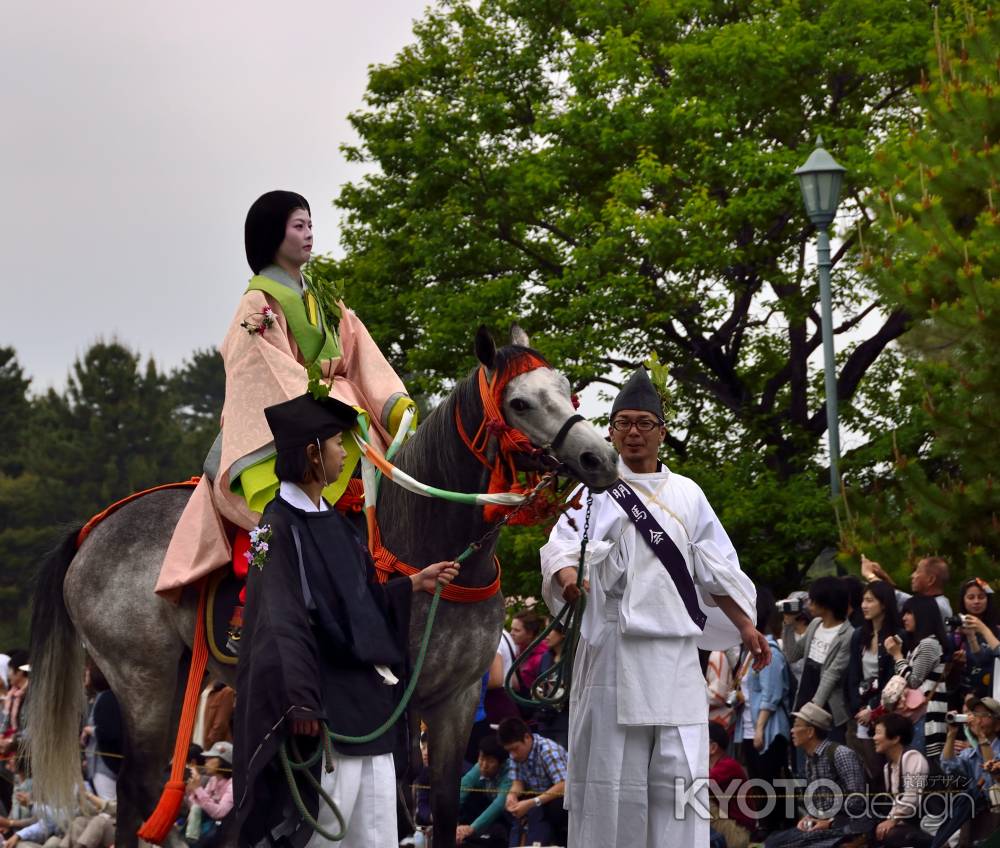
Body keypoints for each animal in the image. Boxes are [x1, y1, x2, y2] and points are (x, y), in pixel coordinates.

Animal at [29, 326, 616, 848]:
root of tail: (94, 528)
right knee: (139, 789)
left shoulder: (457, 698)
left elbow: (445, 812)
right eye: (520, 402)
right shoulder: (394, 699)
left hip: (175, 679)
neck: (429, 544)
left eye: (566, 387)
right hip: (140, 676)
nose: (601, 458)